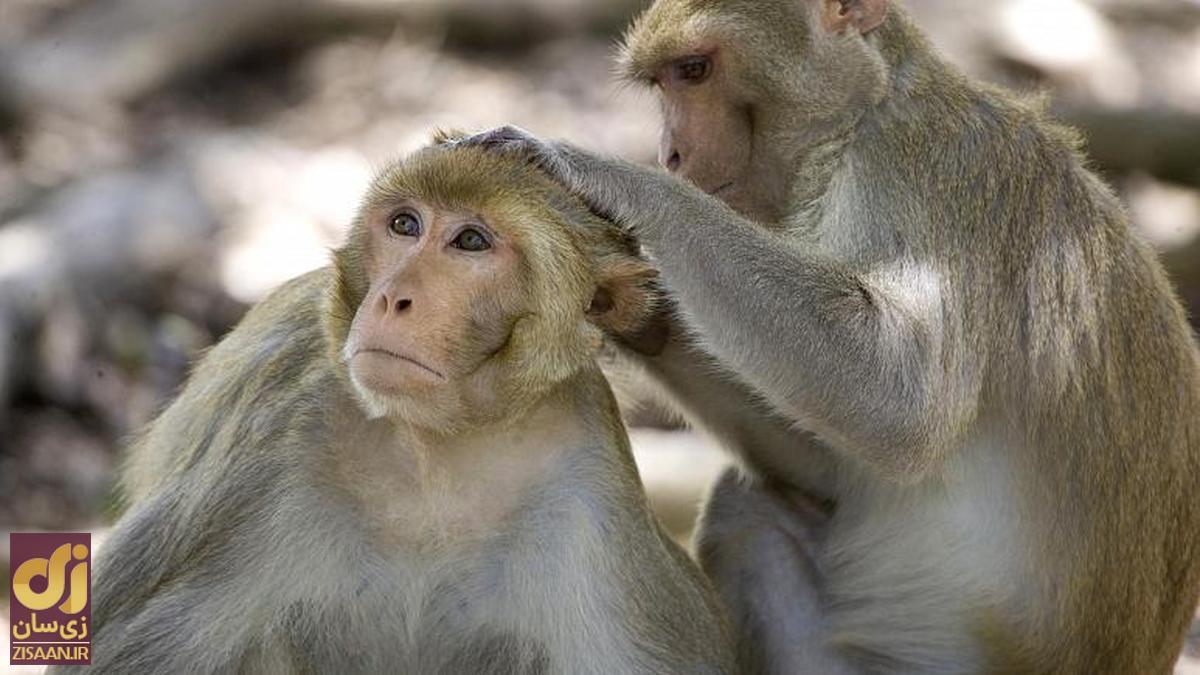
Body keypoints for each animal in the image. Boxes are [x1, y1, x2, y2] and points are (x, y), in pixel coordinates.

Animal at [56, 141, 734, 672]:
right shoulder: (274, 437)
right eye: (405, 225)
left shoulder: (591, 492)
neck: (440, 447)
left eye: (470, 241)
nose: (391, 298)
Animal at [456, 0, 1200, 667]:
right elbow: (827, 468)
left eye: (693, 70)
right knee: (748, 511)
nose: (670, 154)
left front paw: (605, 180)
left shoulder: (916, 173)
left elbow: (899, 399)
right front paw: (628, 306)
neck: (863, 117)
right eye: (664, 82)